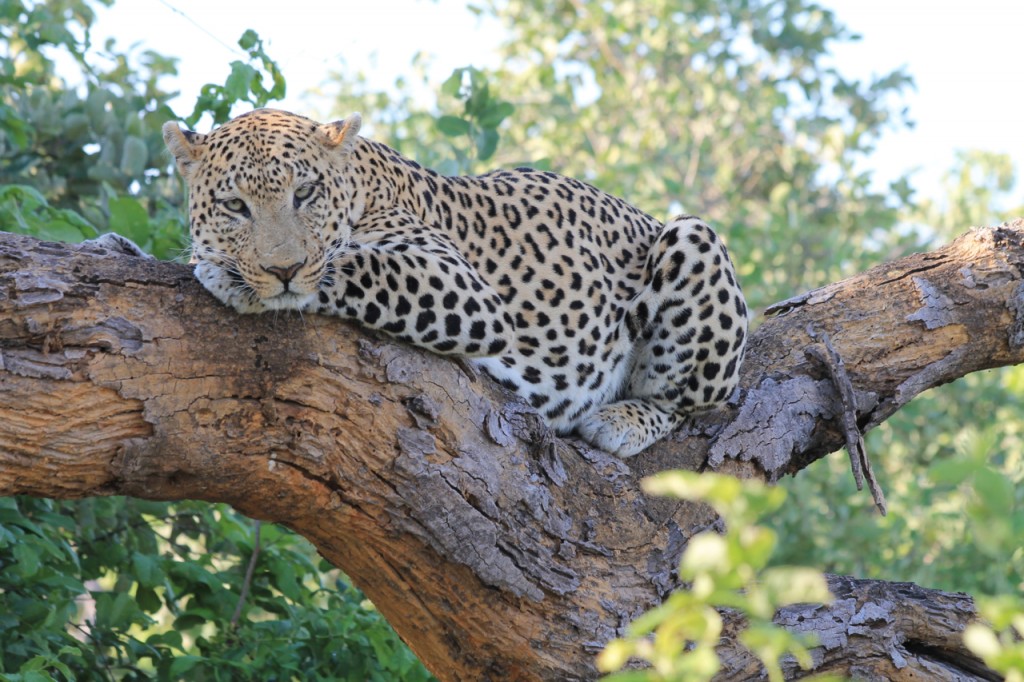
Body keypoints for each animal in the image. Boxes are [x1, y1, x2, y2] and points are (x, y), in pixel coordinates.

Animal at [99, 107, 749, 456]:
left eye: (304, 193)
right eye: (235, 206)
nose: (280, 266)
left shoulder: (463, 289)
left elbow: (348, 265)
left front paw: (231, 275)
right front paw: (118, 246)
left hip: (695, 238)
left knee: (697, 401)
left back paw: (621, 422)